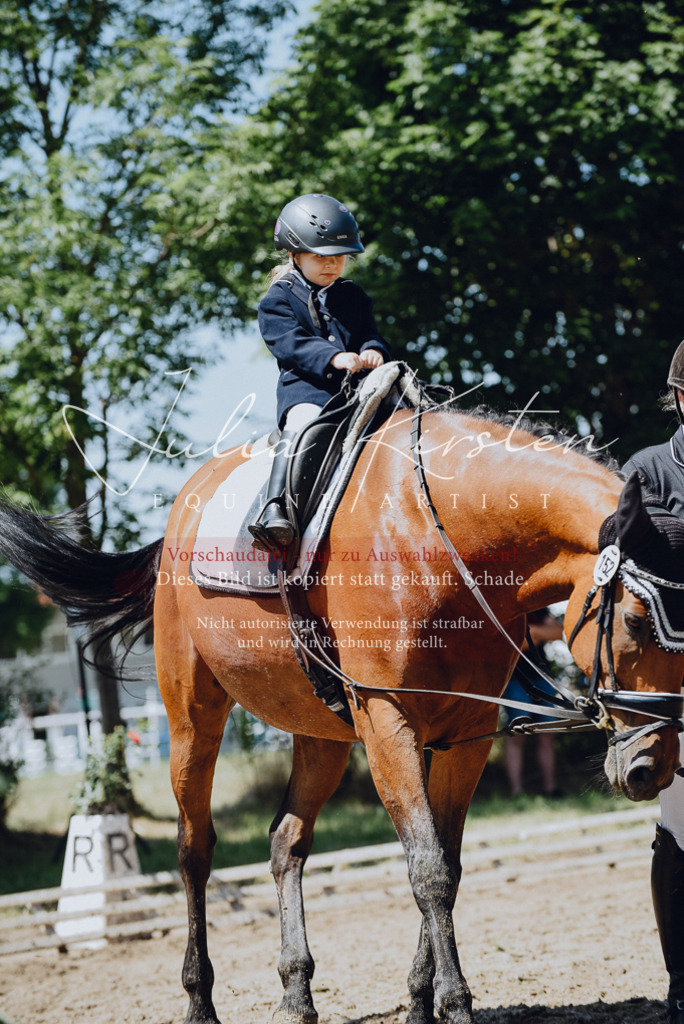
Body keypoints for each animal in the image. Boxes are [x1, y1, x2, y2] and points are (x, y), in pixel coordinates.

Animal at [2, 397, 684, 1024]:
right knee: (194, 850)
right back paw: (200, 1002)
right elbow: (428, 869)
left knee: (286, 841)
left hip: (322, 733)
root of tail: (181, 513)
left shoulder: (467, 734)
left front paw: (420, 1004)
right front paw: (455, 1005)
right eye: (632, 620)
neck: (443, 539)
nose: (651, 767)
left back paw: (297, 994)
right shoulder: (388, 724)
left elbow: (449, 862)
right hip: (194, 714)